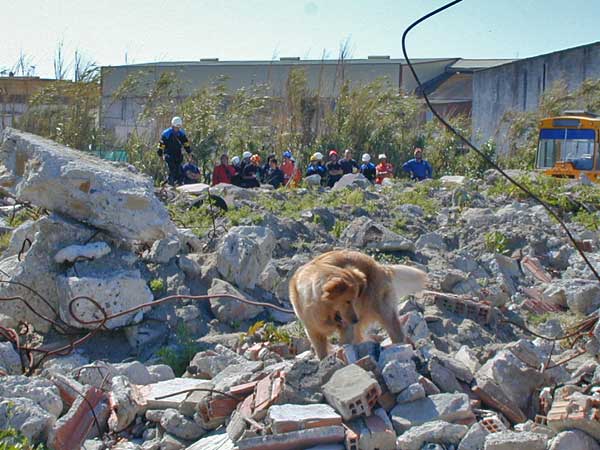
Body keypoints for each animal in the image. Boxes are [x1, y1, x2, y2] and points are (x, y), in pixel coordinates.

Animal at [290, 250, 426, 358]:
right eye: (348, 301)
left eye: (354, 299)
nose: (356, 320)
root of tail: (379, 266)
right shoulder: (313, 330)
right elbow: (321, 351)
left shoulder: (346, 326)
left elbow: (344, 342)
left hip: (382, 310)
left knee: (396, 332)